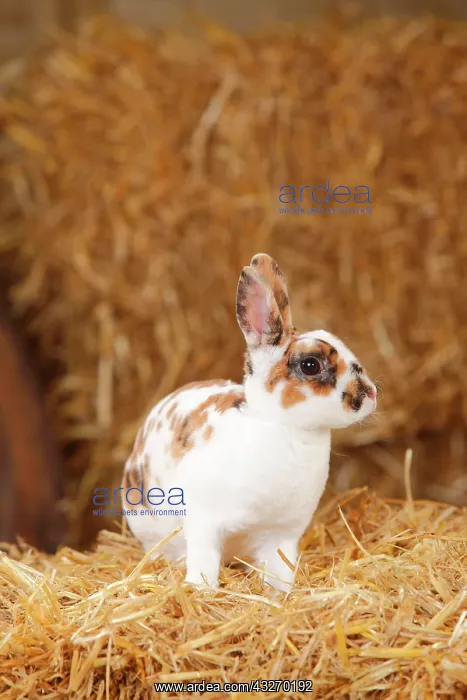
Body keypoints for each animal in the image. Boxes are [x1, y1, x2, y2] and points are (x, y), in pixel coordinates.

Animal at [122, 253, 377, 592]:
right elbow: (204, 560)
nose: (370, 394)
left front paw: (281, 594)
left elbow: (280, 569)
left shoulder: (283, 536)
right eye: (311, 365)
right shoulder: (204, 523)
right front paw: (201, 590)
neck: (282, 427)